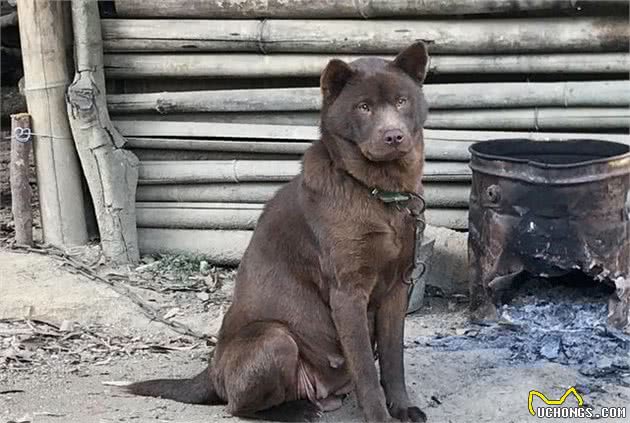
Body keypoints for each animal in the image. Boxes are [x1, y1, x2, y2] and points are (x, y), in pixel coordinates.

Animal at [128, 42, 434, 423]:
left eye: (402, 101)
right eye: (363, 107)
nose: (394, 136)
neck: (380, 194)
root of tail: (211, 370)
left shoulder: (397, 289)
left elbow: (393, 362)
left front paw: (402, 408)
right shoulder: (348, 294)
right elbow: (366, 370)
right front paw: (379, 418)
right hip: (274, 339)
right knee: (238, 406)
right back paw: (297, 411)